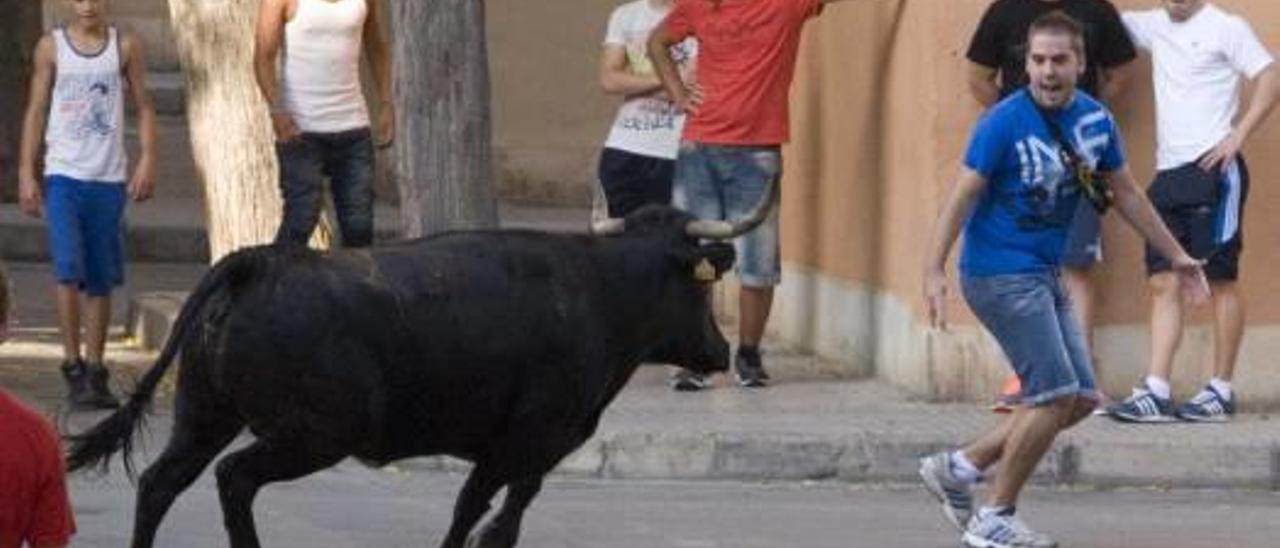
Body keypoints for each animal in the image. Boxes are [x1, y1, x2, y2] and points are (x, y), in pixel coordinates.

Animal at [64, 206, 742, 548]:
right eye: (700, 287)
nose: (721, 351)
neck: (599, 289)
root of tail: (258, 263)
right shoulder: (528, 439)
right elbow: (483, 515)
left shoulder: (526, 447)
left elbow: (496, 512)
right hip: (313, 434)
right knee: (234, 479)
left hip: (205, 415)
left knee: (160, 483)